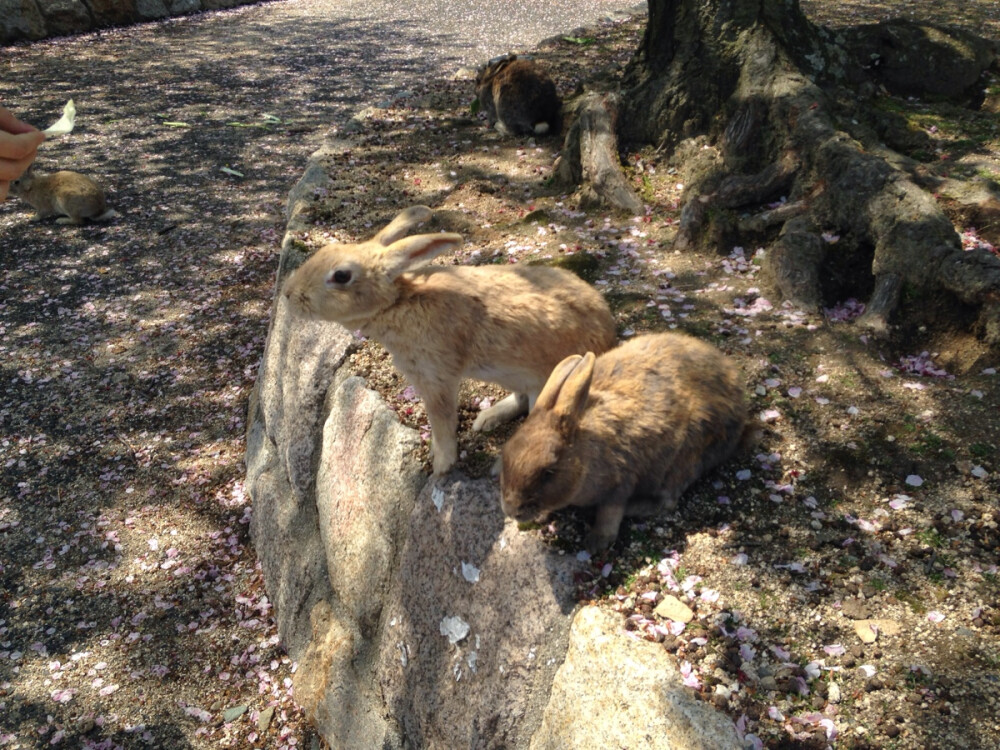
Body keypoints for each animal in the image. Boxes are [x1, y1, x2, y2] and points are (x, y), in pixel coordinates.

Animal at [282, 206, 616, 476]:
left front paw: (441, 465)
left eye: (341, 276)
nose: (288, 294)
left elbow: (441, 421)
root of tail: (608, 337)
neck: (398, 302)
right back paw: (486, 419)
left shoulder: (436, 378)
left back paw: (499, 467)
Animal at [500, 334, 752, 552]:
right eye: (505, 454)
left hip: (683, 461)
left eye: (549, 472)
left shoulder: (620, 483)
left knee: (667, 501)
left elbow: (610, 514)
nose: (511, 510)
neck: (584, 451)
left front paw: (597, 542)